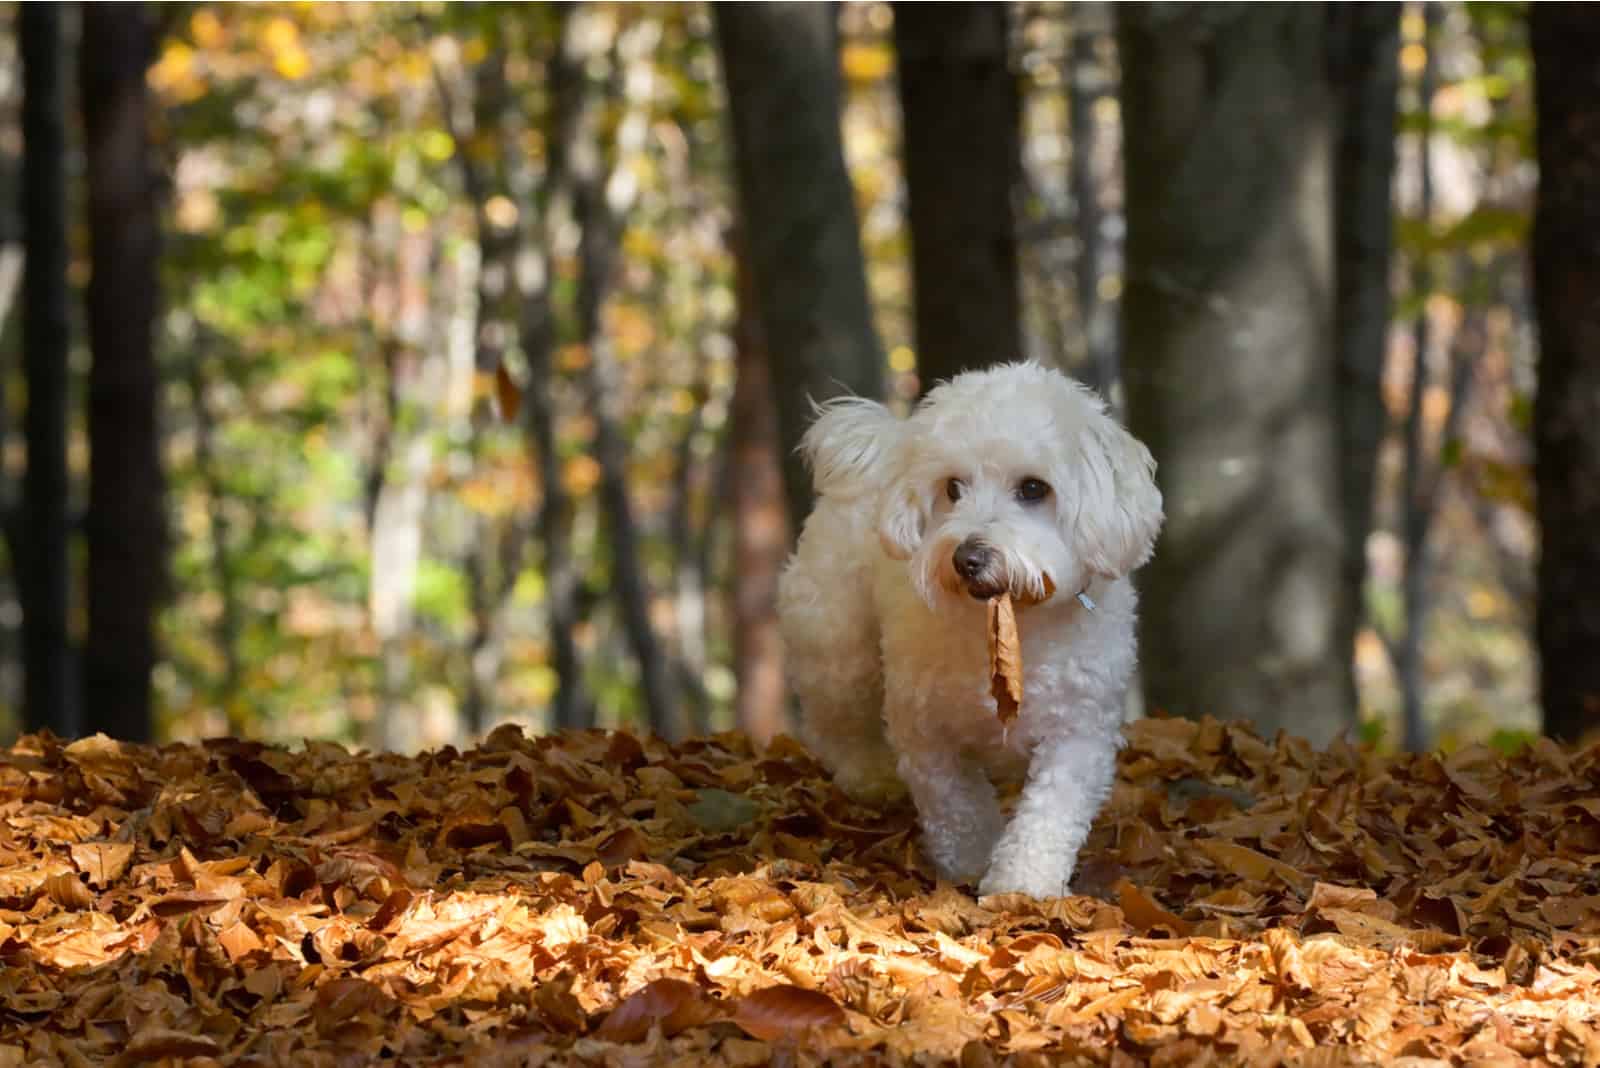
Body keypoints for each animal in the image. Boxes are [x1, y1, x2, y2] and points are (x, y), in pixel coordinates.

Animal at [777, 362, 1164, 895]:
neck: (1011, 625)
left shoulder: (1078, 732)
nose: (968, 558)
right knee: (839, 722)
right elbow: (955, 804)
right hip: (837, 644)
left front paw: (1022, 885)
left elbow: (1049, 812)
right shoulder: (925, 731)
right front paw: (971, 863)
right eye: (953, 487)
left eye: (1033, 488)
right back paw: (870, 776)